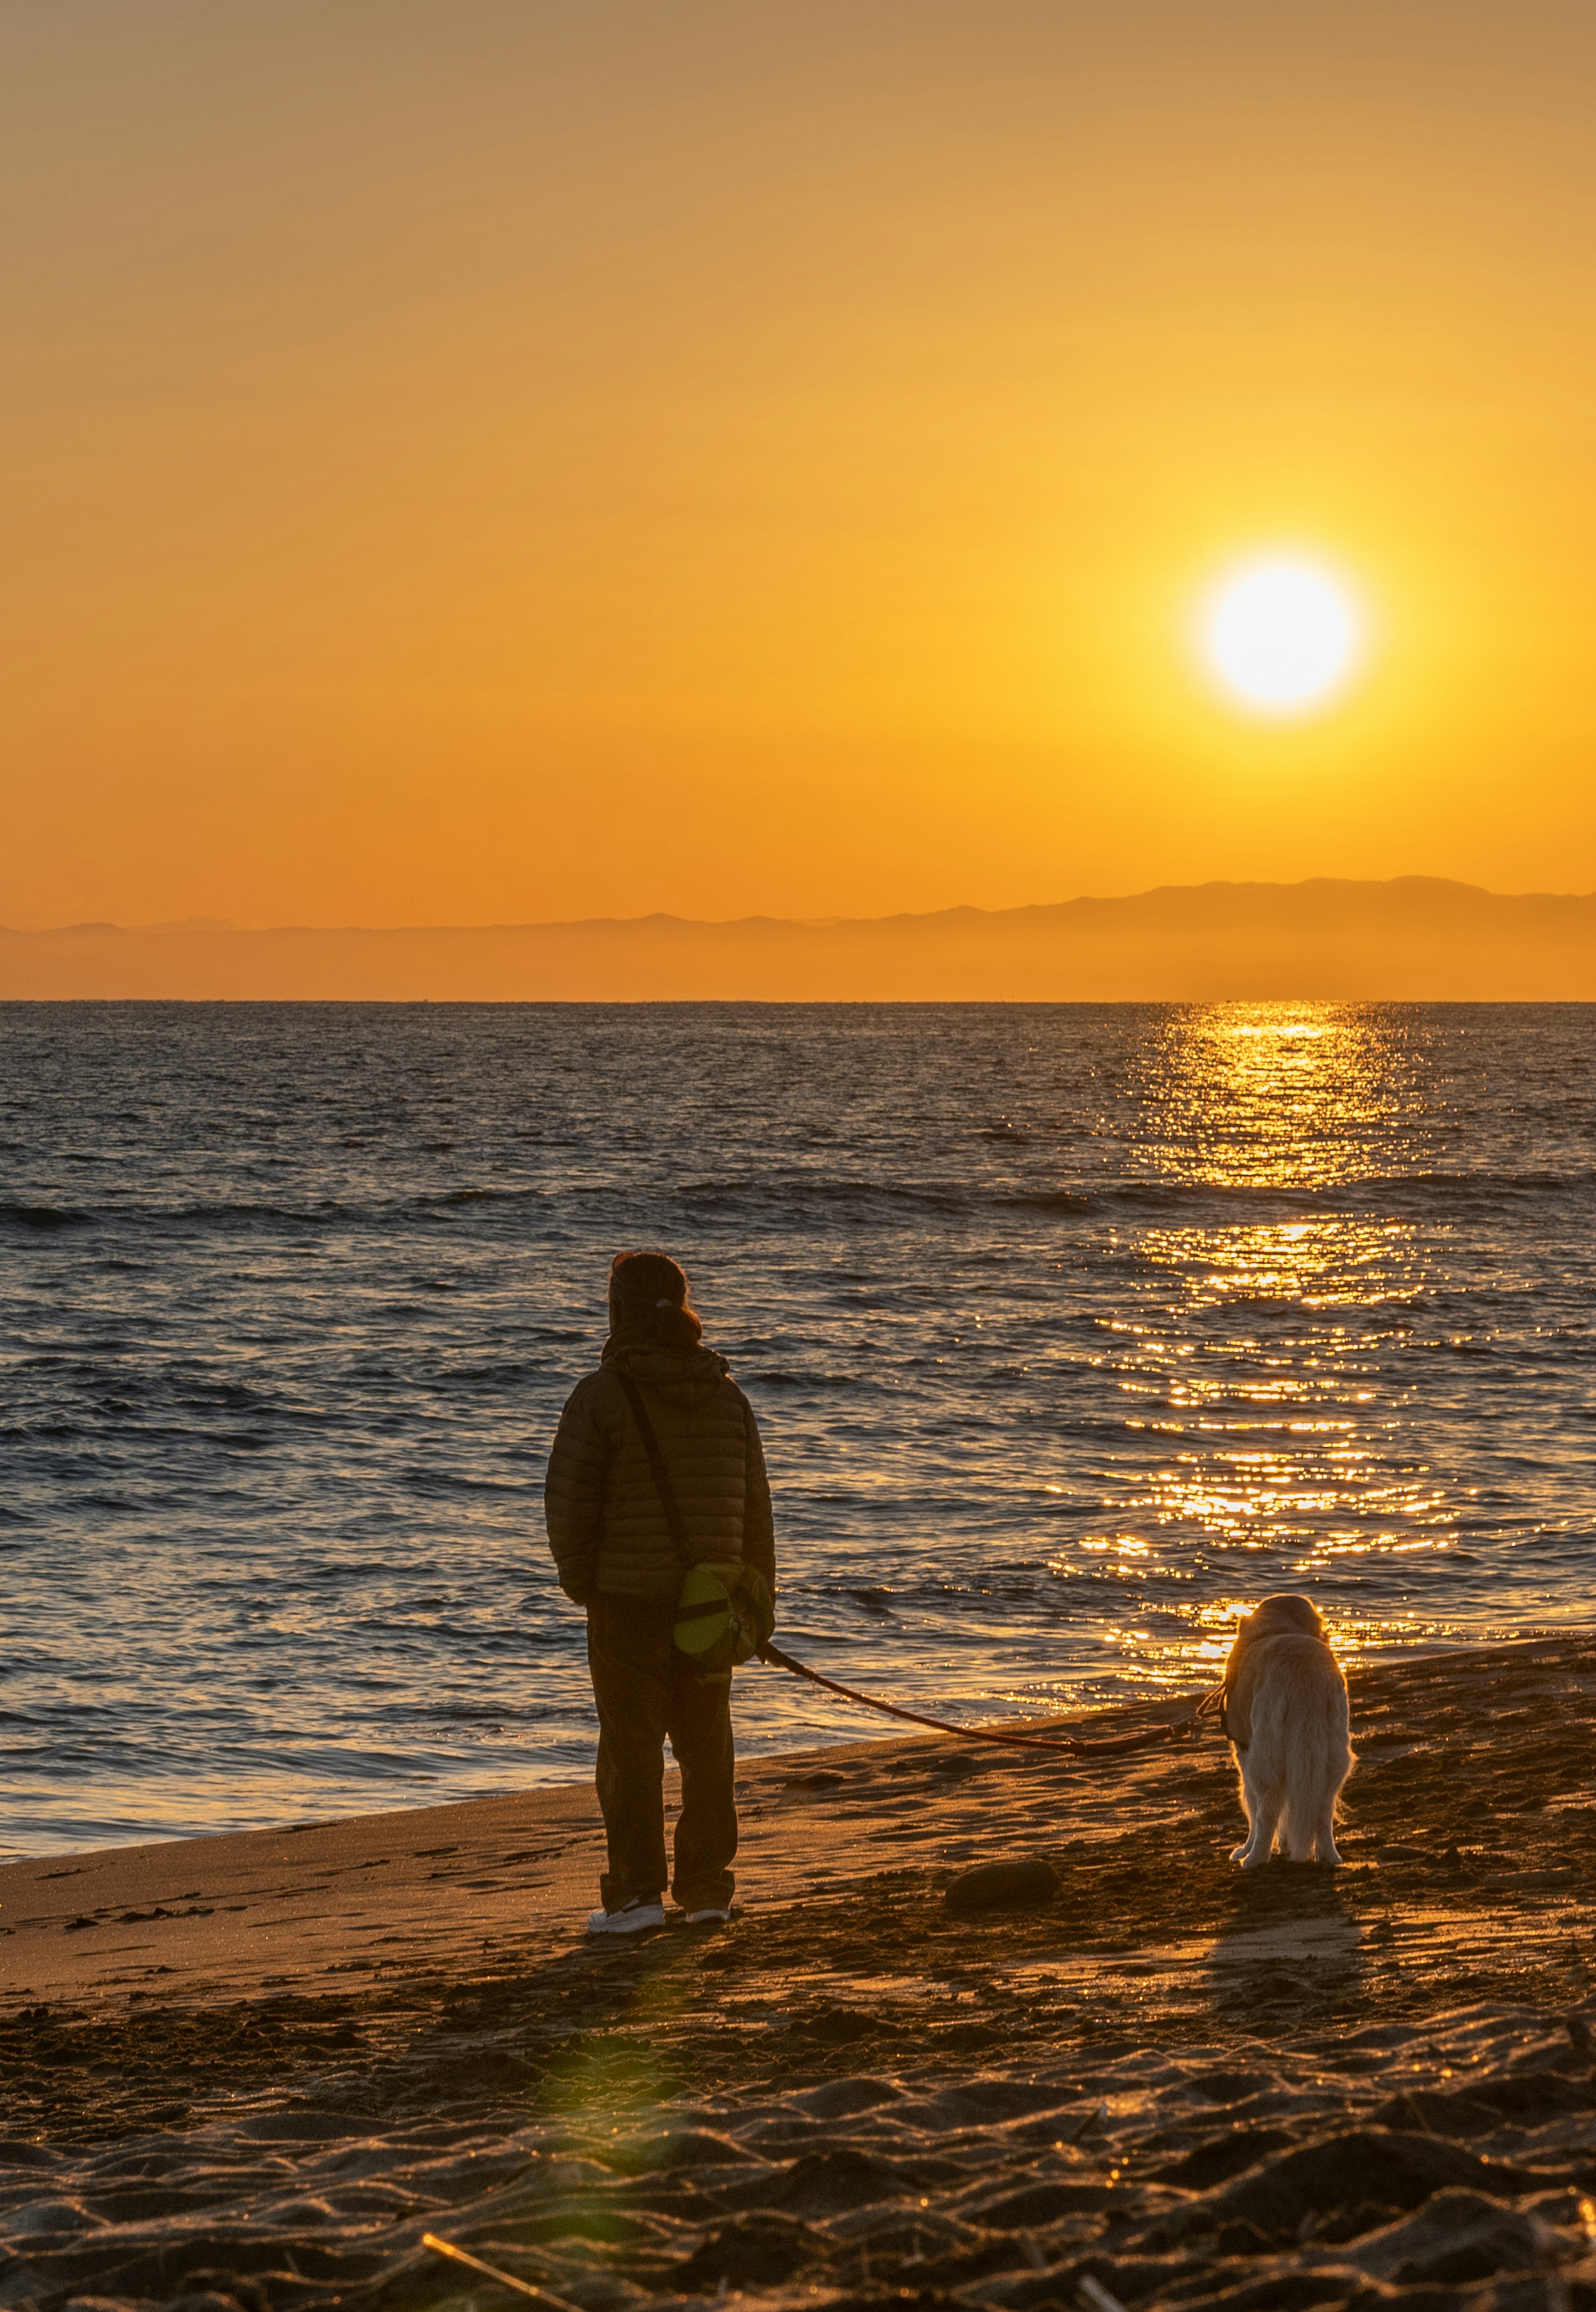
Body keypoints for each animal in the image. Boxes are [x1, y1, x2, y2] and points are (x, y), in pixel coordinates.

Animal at [1221, 1600, 1341, 1868]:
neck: (1279, 1626)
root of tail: (1302, 1668)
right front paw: (1286, 1845)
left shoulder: (1245, 1753)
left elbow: (1252, 1805)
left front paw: (1245, 1850)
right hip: (1334, 1754)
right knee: (1323, 1809)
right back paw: (1330, 1855)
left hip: (1265, 1754)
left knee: (1265, 1810)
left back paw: (1254, 1858)